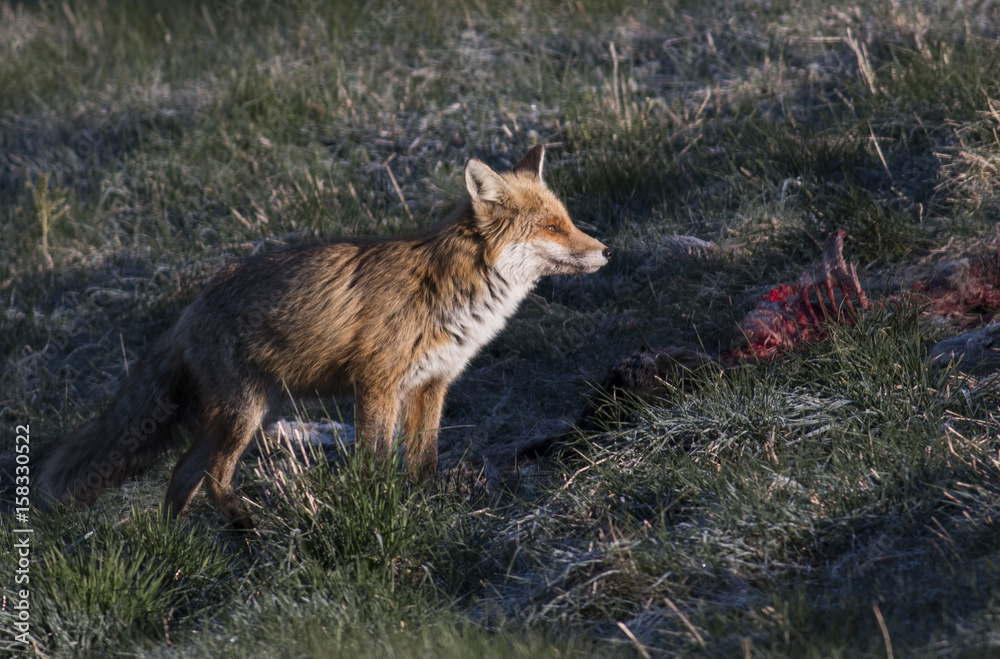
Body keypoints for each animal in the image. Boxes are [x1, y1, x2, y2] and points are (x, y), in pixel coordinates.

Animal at [35, 145, 612, 528]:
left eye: (567, 220)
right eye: (551, 228)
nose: (605, 251)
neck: (450, 289)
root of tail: (189, 310)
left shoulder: (432, 385)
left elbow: (423, 461)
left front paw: (428, 506)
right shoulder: (378, 384)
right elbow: (375, 462)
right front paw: (380, 509)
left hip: (245, 414)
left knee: (181, 476)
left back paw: (176, 545)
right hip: (243, 415)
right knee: (215, 476)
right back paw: (245, 526)